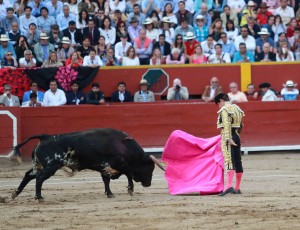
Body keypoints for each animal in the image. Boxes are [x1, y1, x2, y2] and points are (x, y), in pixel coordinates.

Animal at [10, 127, 165, 201]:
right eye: (150, 168)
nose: (148, 184)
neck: (123, 146)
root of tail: (45, 137)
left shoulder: (104, 167)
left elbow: (106, 180)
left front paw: (110, 194)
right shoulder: (118, 164)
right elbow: (127, 174)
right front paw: (130, 190)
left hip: (39, 165)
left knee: (28, 175)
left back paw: (15, 194)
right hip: (51, 166)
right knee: (39, 178)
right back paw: (39, 197)